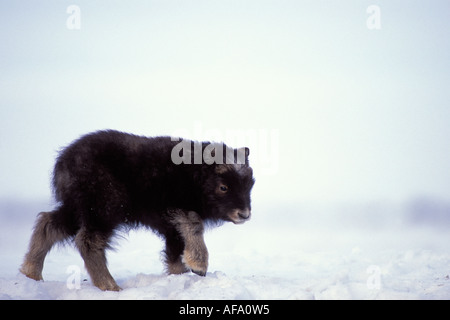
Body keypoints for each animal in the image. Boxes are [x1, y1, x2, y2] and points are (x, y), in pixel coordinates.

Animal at [20, 129, 253, 290]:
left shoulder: (170, 228)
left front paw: (181, 275)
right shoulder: (175, 209)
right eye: (223, 187)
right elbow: (193, 225)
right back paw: (110, 286)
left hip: (77, 210)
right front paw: (199, 265)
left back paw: (31, 273)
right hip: (103, 210)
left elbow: (174, 254)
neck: (193, 175)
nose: (244, 214)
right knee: (88, 240)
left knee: (49, 224)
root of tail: (63, 162)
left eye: (250, 183)